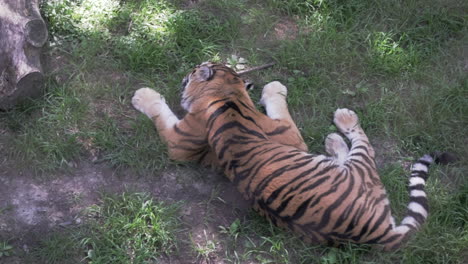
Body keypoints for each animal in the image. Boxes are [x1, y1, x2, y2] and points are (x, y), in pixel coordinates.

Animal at [133, 62, 450, 252]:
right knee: (363, 145)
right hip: (357, 169)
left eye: (194, 69)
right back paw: (339, 126)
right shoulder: (179, 143)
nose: (185, 73)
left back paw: (336, 131)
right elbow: (160, 111)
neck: (224, 94)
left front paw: (273, 86)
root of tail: (378, 233)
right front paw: (143, 96)